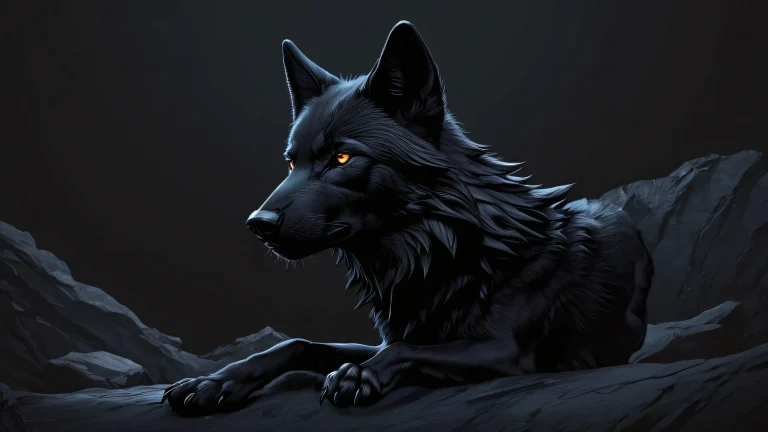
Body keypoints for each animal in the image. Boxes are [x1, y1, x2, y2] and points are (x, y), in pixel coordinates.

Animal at [163, 20, 653, 415]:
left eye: (342, 158)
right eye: (291, 162)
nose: (257, 224)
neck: (443, 251)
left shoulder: (505, 352)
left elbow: (405, 353)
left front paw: (356, 375)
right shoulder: (388, 335)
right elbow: (299, 343)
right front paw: (214, 382)